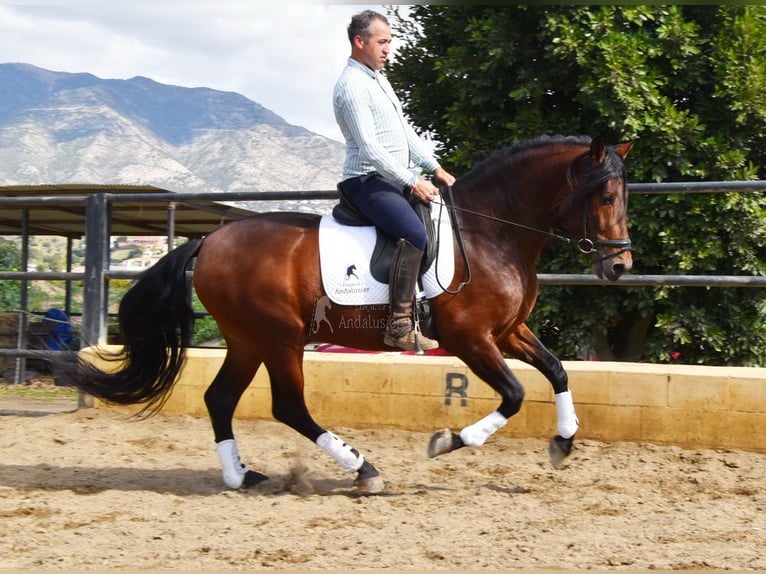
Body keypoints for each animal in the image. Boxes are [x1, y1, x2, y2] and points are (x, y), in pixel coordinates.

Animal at [57, 135, 636, 496]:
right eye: (607, 195)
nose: (620, 265)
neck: (490, 232)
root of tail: (209, 241)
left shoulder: (509, 331)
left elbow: (556, 370)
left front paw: (563, 443)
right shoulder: (470, 337)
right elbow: (514, 395)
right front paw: (448, 442)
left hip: (247, 340)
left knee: (220, 399)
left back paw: (241, 476)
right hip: (280, 338)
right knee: (289, 406)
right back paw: (364, 470)